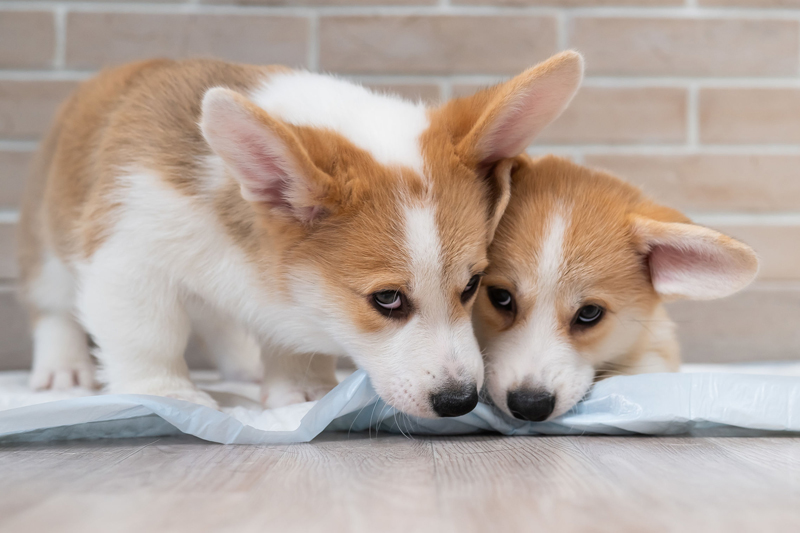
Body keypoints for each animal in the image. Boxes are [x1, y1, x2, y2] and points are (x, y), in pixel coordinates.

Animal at [17, 53, 580, 416]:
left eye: (472, 286)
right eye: (387, 299)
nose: (459, 402)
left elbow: (293, 341)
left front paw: (304, 393)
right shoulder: (130, 258)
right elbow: (149, 335)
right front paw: (166, 394)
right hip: (47, 244)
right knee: (52, 305)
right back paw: (64, 370)